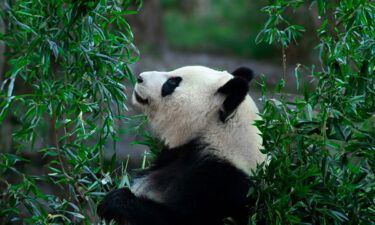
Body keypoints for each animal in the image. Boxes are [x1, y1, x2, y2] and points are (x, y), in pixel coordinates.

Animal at [98, 65, 266, 225]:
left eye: (172, 83)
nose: (140, 78)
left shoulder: (224, 186)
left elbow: (183, 219)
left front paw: (115, 201)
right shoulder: (177, 153)